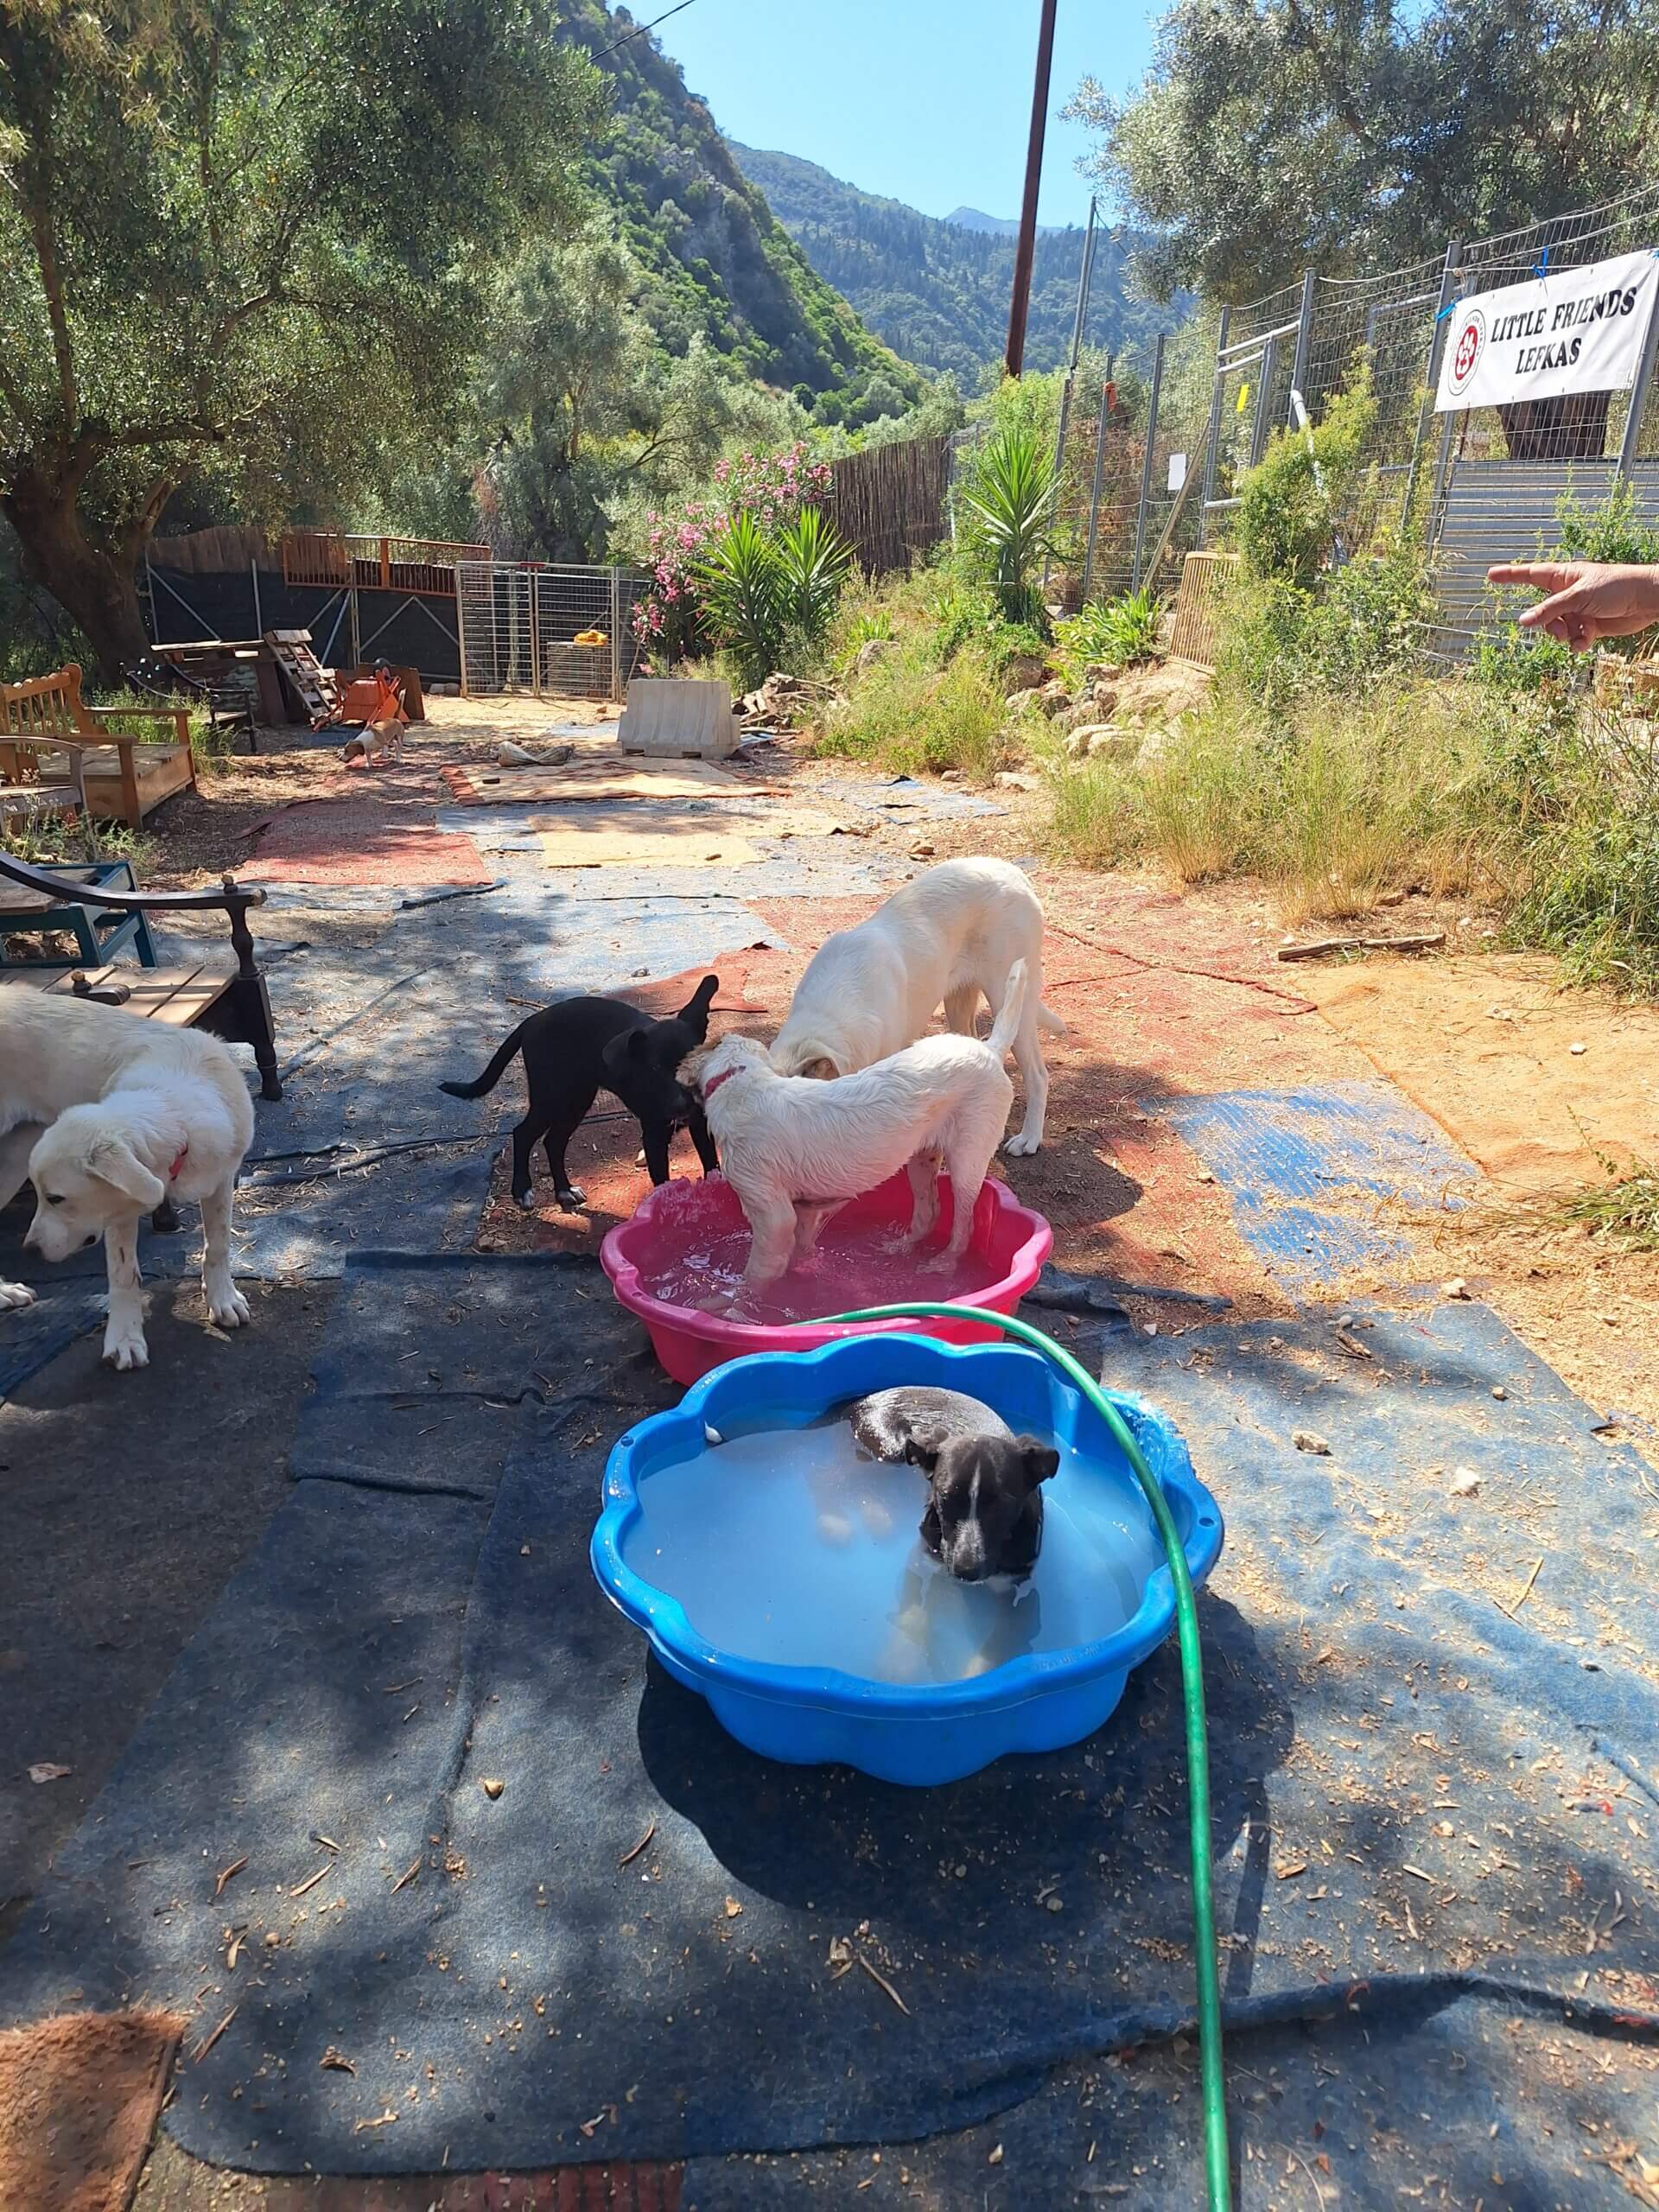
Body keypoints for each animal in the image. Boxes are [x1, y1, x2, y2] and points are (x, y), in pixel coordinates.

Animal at [1, 990, 255, 1362]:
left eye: (56, 1198)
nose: (30, 1250)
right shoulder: (118, 1213)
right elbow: (123, 1275)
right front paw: (124, 1339)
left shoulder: (222, 1179)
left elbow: (218, 1244)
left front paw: (223, 1299)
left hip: (13, 1157)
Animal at [442, 973, 721, 1211]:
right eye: (654, 1069)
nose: (682, 1105)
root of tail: (533, 1020)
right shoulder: (654, 1133)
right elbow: (662, 1182)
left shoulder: (700, 1123)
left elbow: (711, 1165)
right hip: (551, 1097)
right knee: (522, 1134)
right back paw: (522, 1191)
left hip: (576, 1101)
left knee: (553, 1142)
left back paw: (564, 1191)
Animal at [694, 950, 1035, 1292]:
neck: (743, 1083)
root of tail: (989, 1050)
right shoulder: (805, 1211)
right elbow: (802, 1246)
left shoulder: (772, 1215)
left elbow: (754, 1278)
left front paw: (733, 1300)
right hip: (921, 1158)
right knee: (928, 1214)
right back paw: (899, 1248)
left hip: (967, 1161)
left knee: (964, 1226)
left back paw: (943, 1264)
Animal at [765, 849, 1065, 1150]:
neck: (829, 1011)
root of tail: (1013, 872)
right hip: (959, 1005)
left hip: (1008, 996)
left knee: (1038, 1075)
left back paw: (1029, 1138)